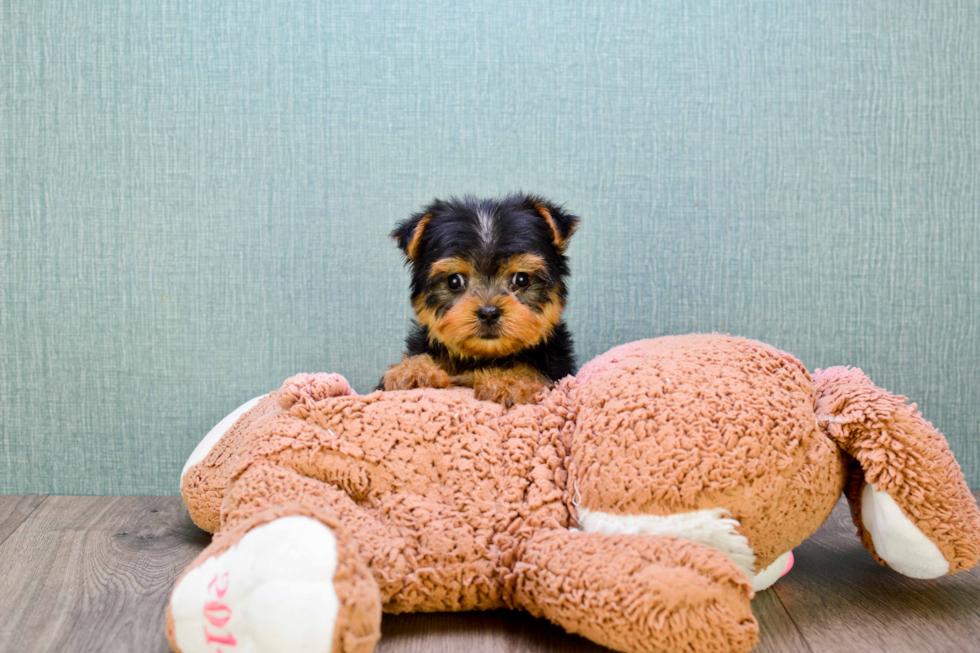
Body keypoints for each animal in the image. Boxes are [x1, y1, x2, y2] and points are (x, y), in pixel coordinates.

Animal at [378, 192, 580, 408]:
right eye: (454, 281)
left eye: (522, 279)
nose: (489, 313)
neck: (483, 357)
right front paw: (412, 369)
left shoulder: (556, 366)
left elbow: (533, 369)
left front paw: (508, 381)